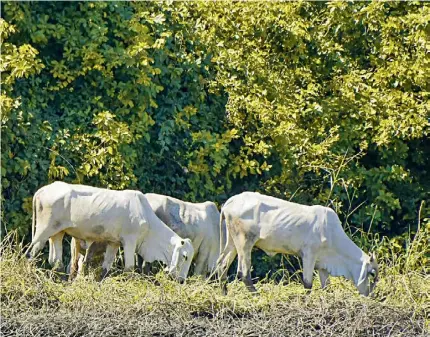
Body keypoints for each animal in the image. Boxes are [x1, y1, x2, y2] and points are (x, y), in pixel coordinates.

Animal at [28, 180, 193, 280]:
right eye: (185, 256)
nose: (182, 281)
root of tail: (42, 190)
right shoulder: (129, 241)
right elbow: (129, 268)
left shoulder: (114, 243)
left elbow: (105, 268)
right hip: (43, 230)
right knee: (31, 252)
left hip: (57, 232)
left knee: (56, 261)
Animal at [217, 192, 378, 294]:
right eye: (372, 274)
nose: (371, 294)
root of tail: (229, 203)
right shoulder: (309, 255)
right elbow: (308, 284)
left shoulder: (322, 263)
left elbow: (326, 286)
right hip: (245, 242)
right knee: (243, 273)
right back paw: (256, 294)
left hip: (233, 242)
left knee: (222, 264)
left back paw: (224, 292)